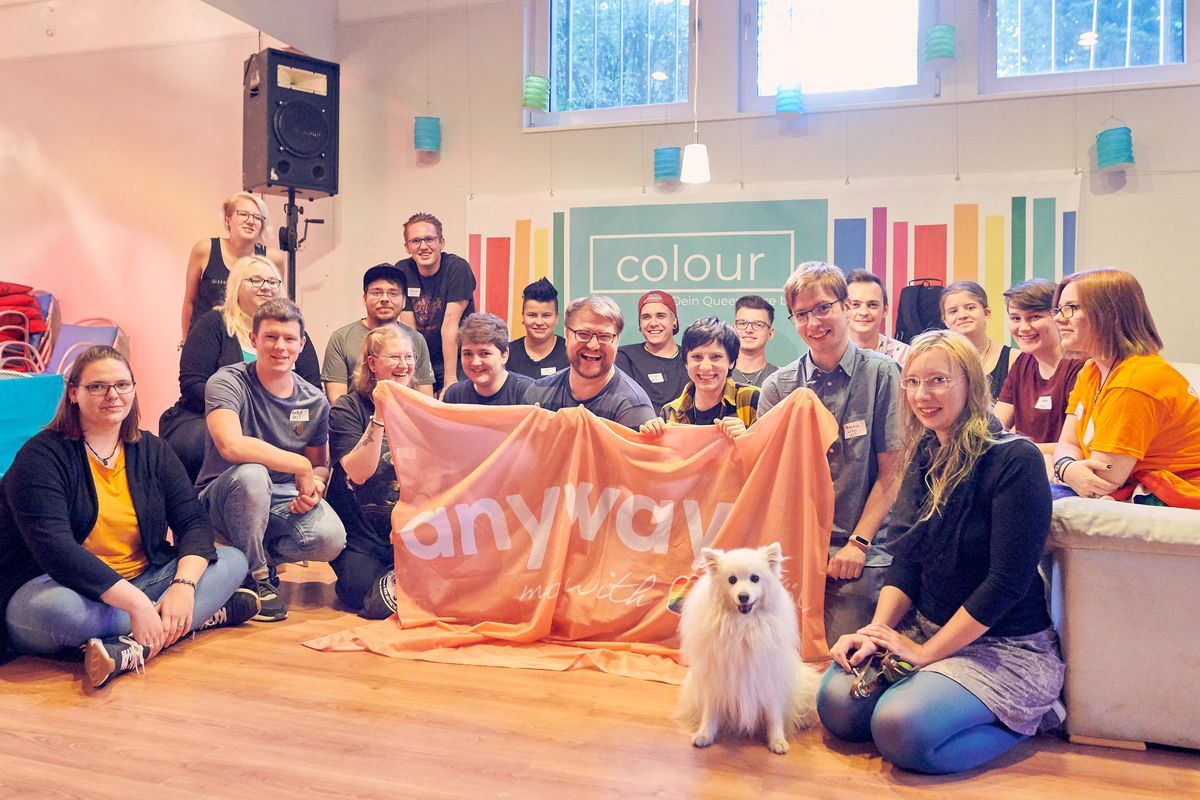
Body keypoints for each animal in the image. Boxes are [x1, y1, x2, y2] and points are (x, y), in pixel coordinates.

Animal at [681, 542, 820, 753]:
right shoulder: (716, 679)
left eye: (755, 578)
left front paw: (777, 741)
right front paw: (705, 735)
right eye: (732, 580)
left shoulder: (768, 680)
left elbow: (774, 715)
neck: (743, 627)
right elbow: (710, 712)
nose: (743, 596)